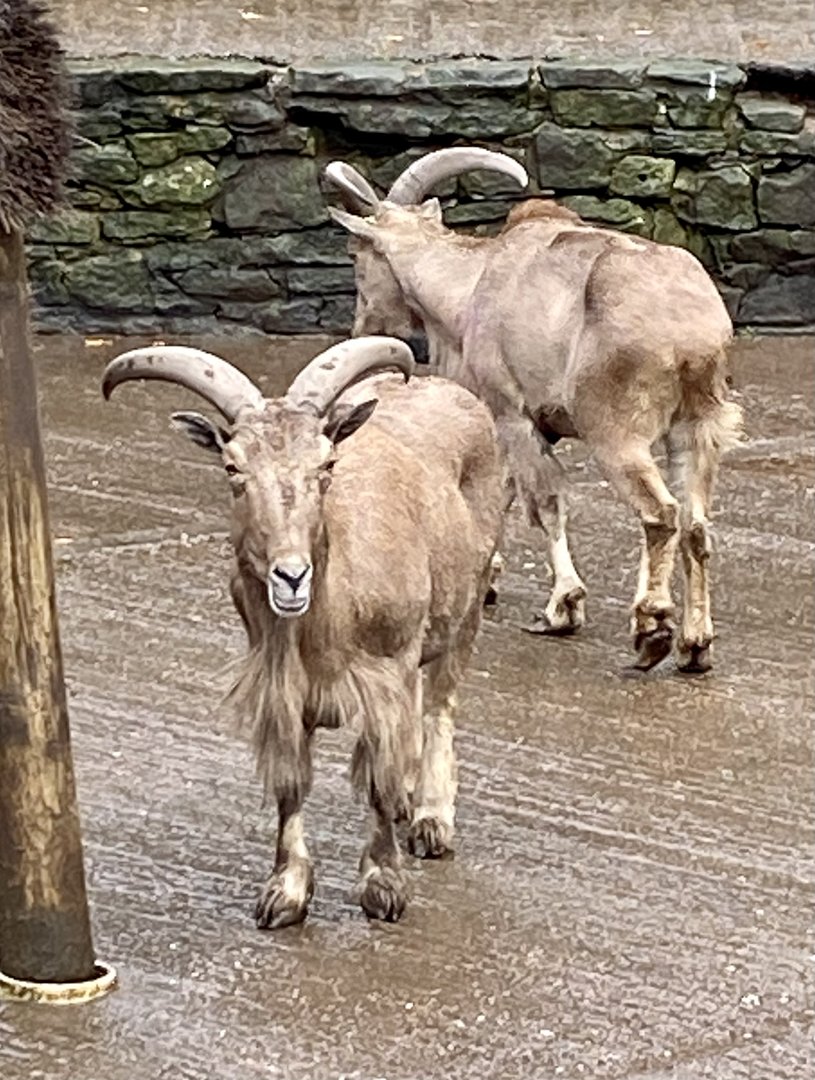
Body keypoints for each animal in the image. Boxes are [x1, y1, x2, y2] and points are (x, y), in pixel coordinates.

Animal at [101, 336, 503, 927]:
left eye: (327, 462)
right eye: (232, 467)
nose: (291, 576)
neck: (327, 621)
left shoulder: (387, 674)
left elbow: (379, 777)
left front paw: (383, 889)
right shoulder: (280, 686)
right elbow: (292, 782)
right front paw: (284, 893)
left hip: (468, 604)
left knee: (439, 706)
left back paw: (431, 818)